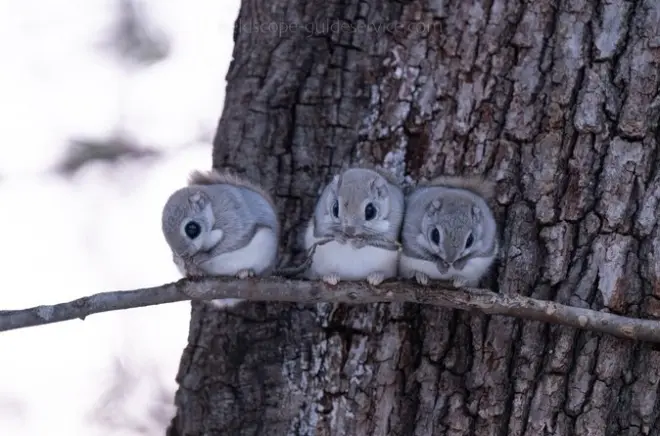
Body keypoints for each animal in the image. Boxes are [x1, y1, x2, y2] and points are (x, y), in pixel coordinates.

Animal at [161, 168, 279, 307]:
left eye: (192, 228)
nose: (183, 254)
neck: (212, 208)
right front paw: (184, 263)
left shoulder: (232, 216)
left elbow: (233, 240)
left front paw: (202, 256)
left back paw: (245, 272)